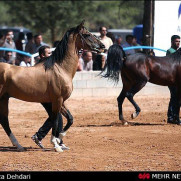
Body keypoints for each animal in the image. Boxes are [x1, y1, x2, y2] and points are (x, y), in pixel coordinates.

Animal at [0, 20, 104, 152]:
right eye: (87, 35)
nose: (102, 46)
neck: (60, 69)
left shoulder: (61, 101)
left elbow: (69, 119)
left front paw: (60, 138)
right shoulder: (57, 100)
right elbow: (55, 120)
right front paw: (56, 144)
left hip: (4, 98)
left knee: (4, 121)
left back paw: (19, 145)